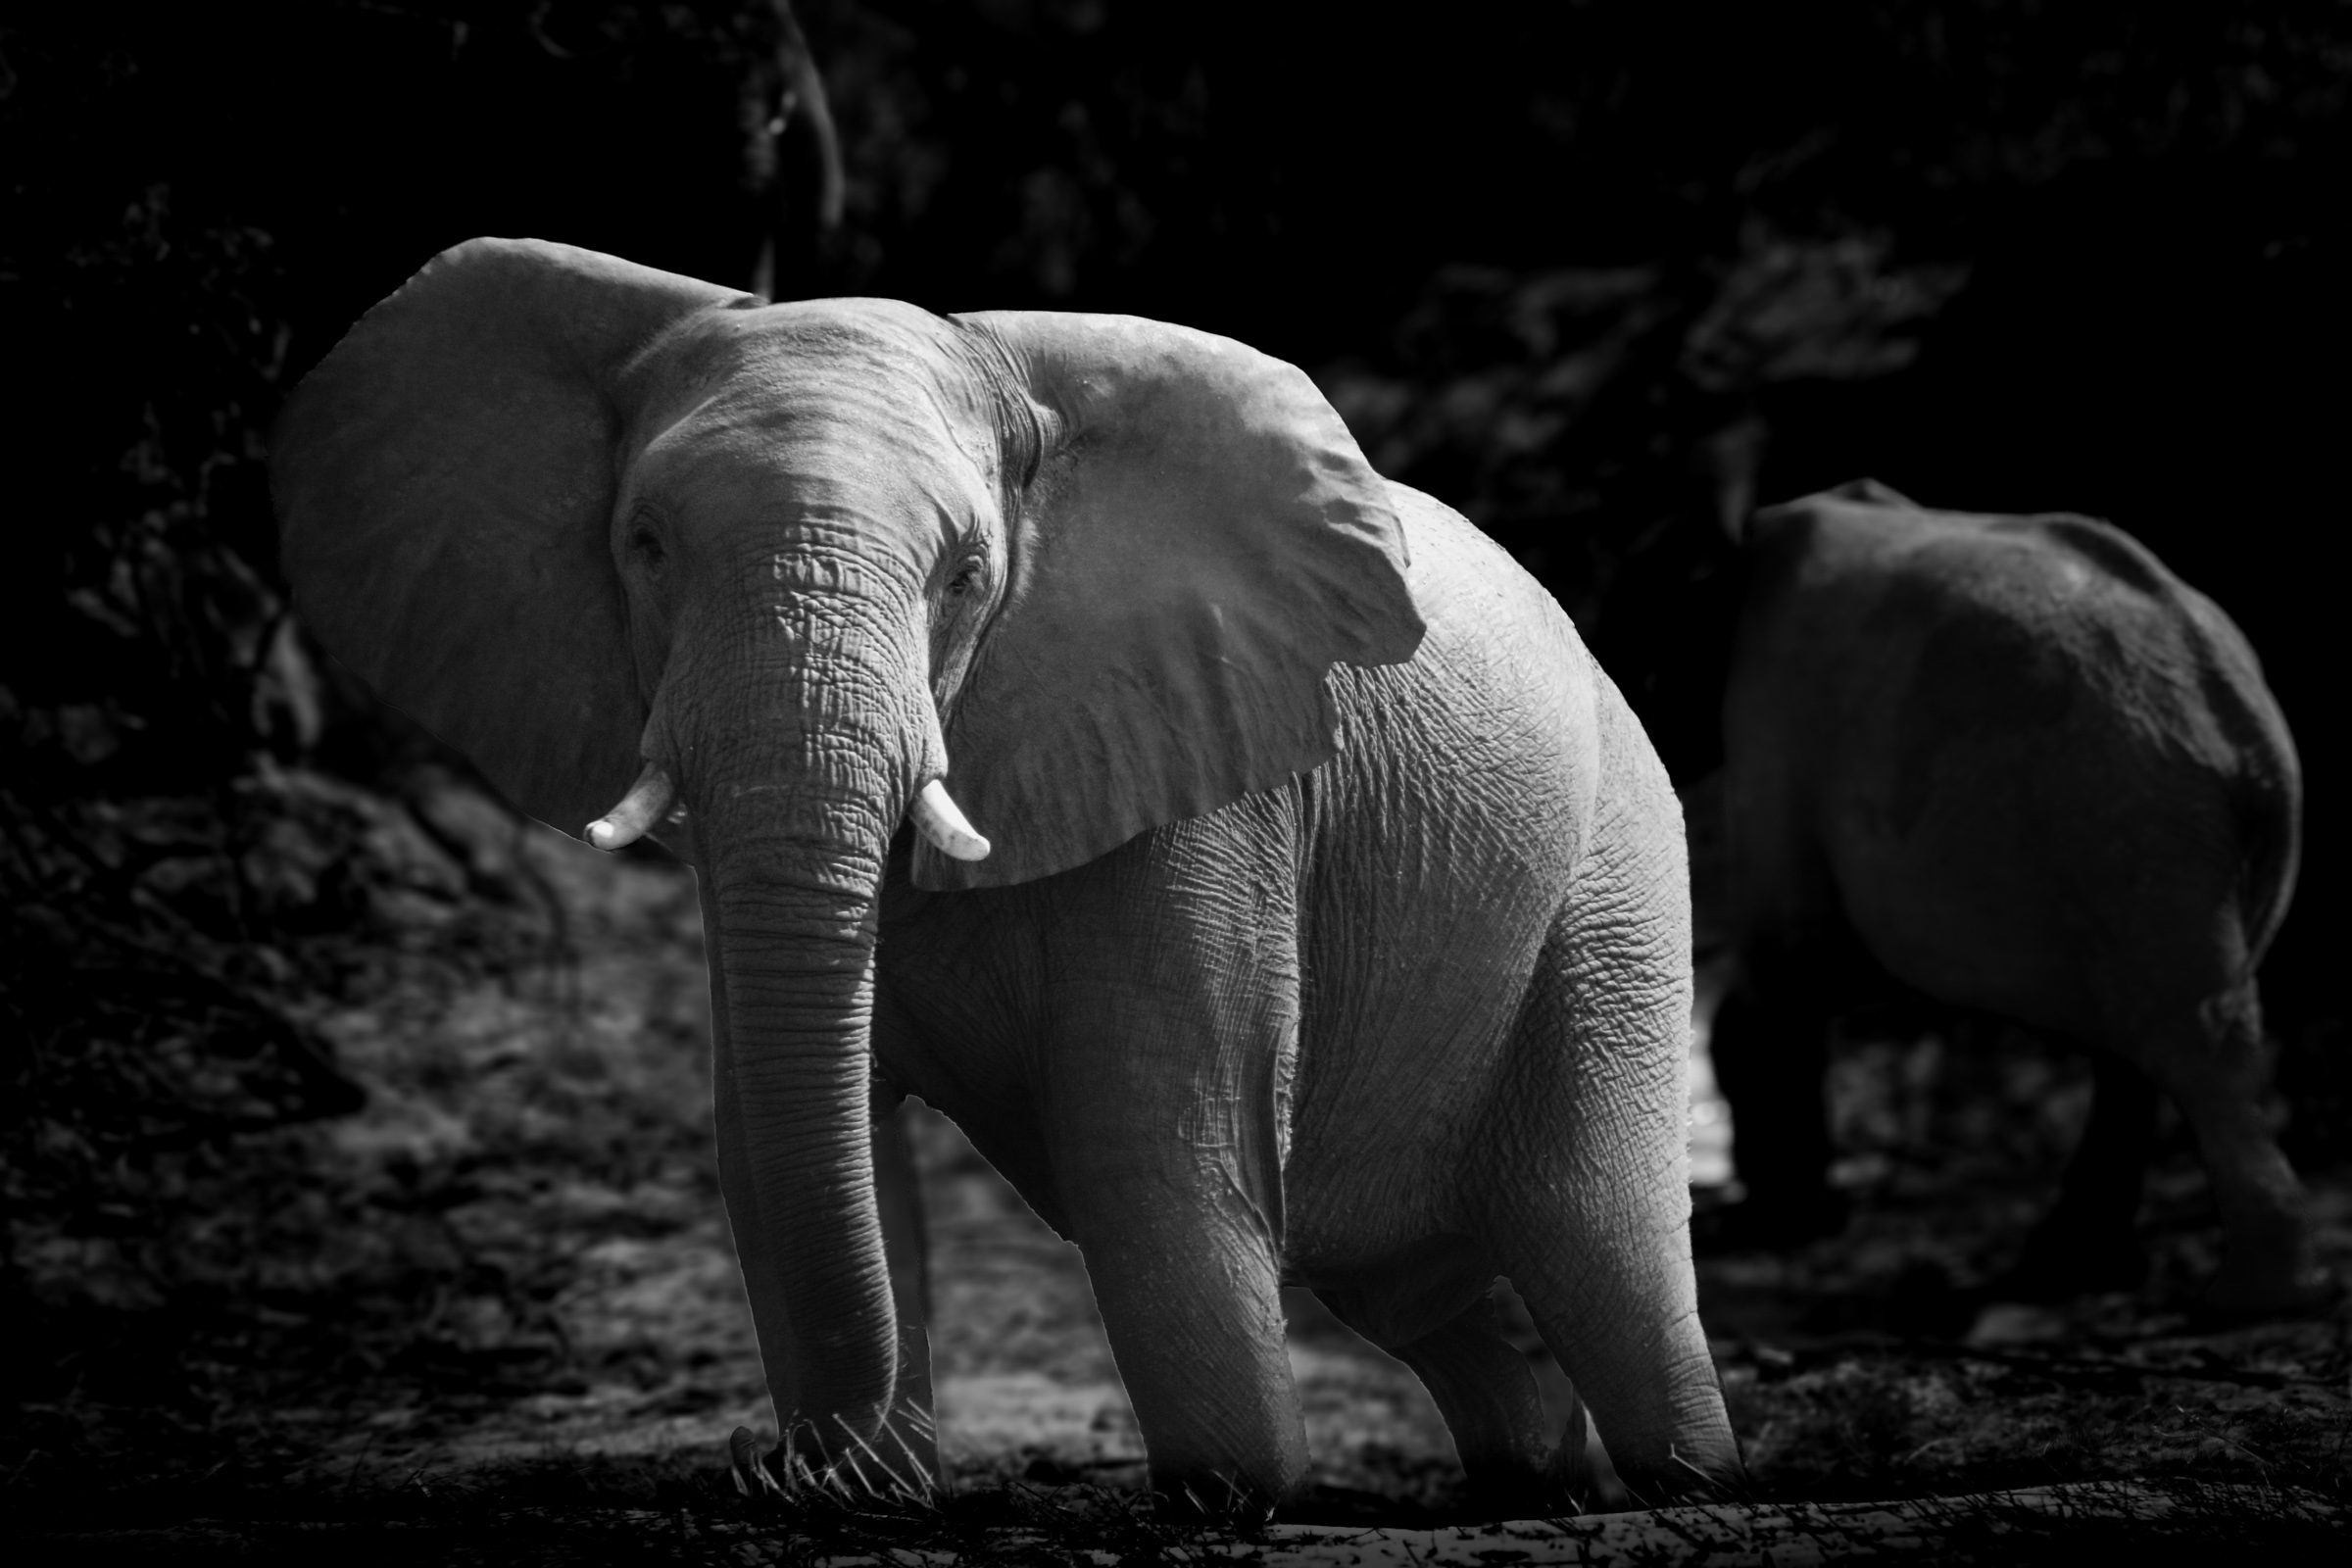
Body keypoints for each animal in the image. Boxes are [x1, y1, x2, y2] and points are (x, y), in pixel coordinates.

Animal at [267, 238, 1740, 1513]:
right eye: (643, 546)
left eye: (967, 574)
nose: (771, 1461)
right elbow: (783, 1135)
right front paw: (872, 1494)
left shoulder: (1208, 789)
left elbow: (1155, 1140)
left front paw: (1228, 1498)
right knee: (1428, 1292)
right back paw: (1533, 1482)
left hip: (1614, 880)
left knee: (1596, 1235)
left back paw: (1690, 1481)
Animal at [1706, 478, 2317, 1315]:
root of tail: (2240, 728)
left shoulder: (1773, 714)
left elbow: (1794, 958)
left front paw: (1776, 1223)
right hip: (2154, 842)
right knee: (2158, 1037)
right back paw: (2081, 1270)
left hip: (2128, 824)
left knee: (2192, 1039)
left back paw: (2242, 1297)